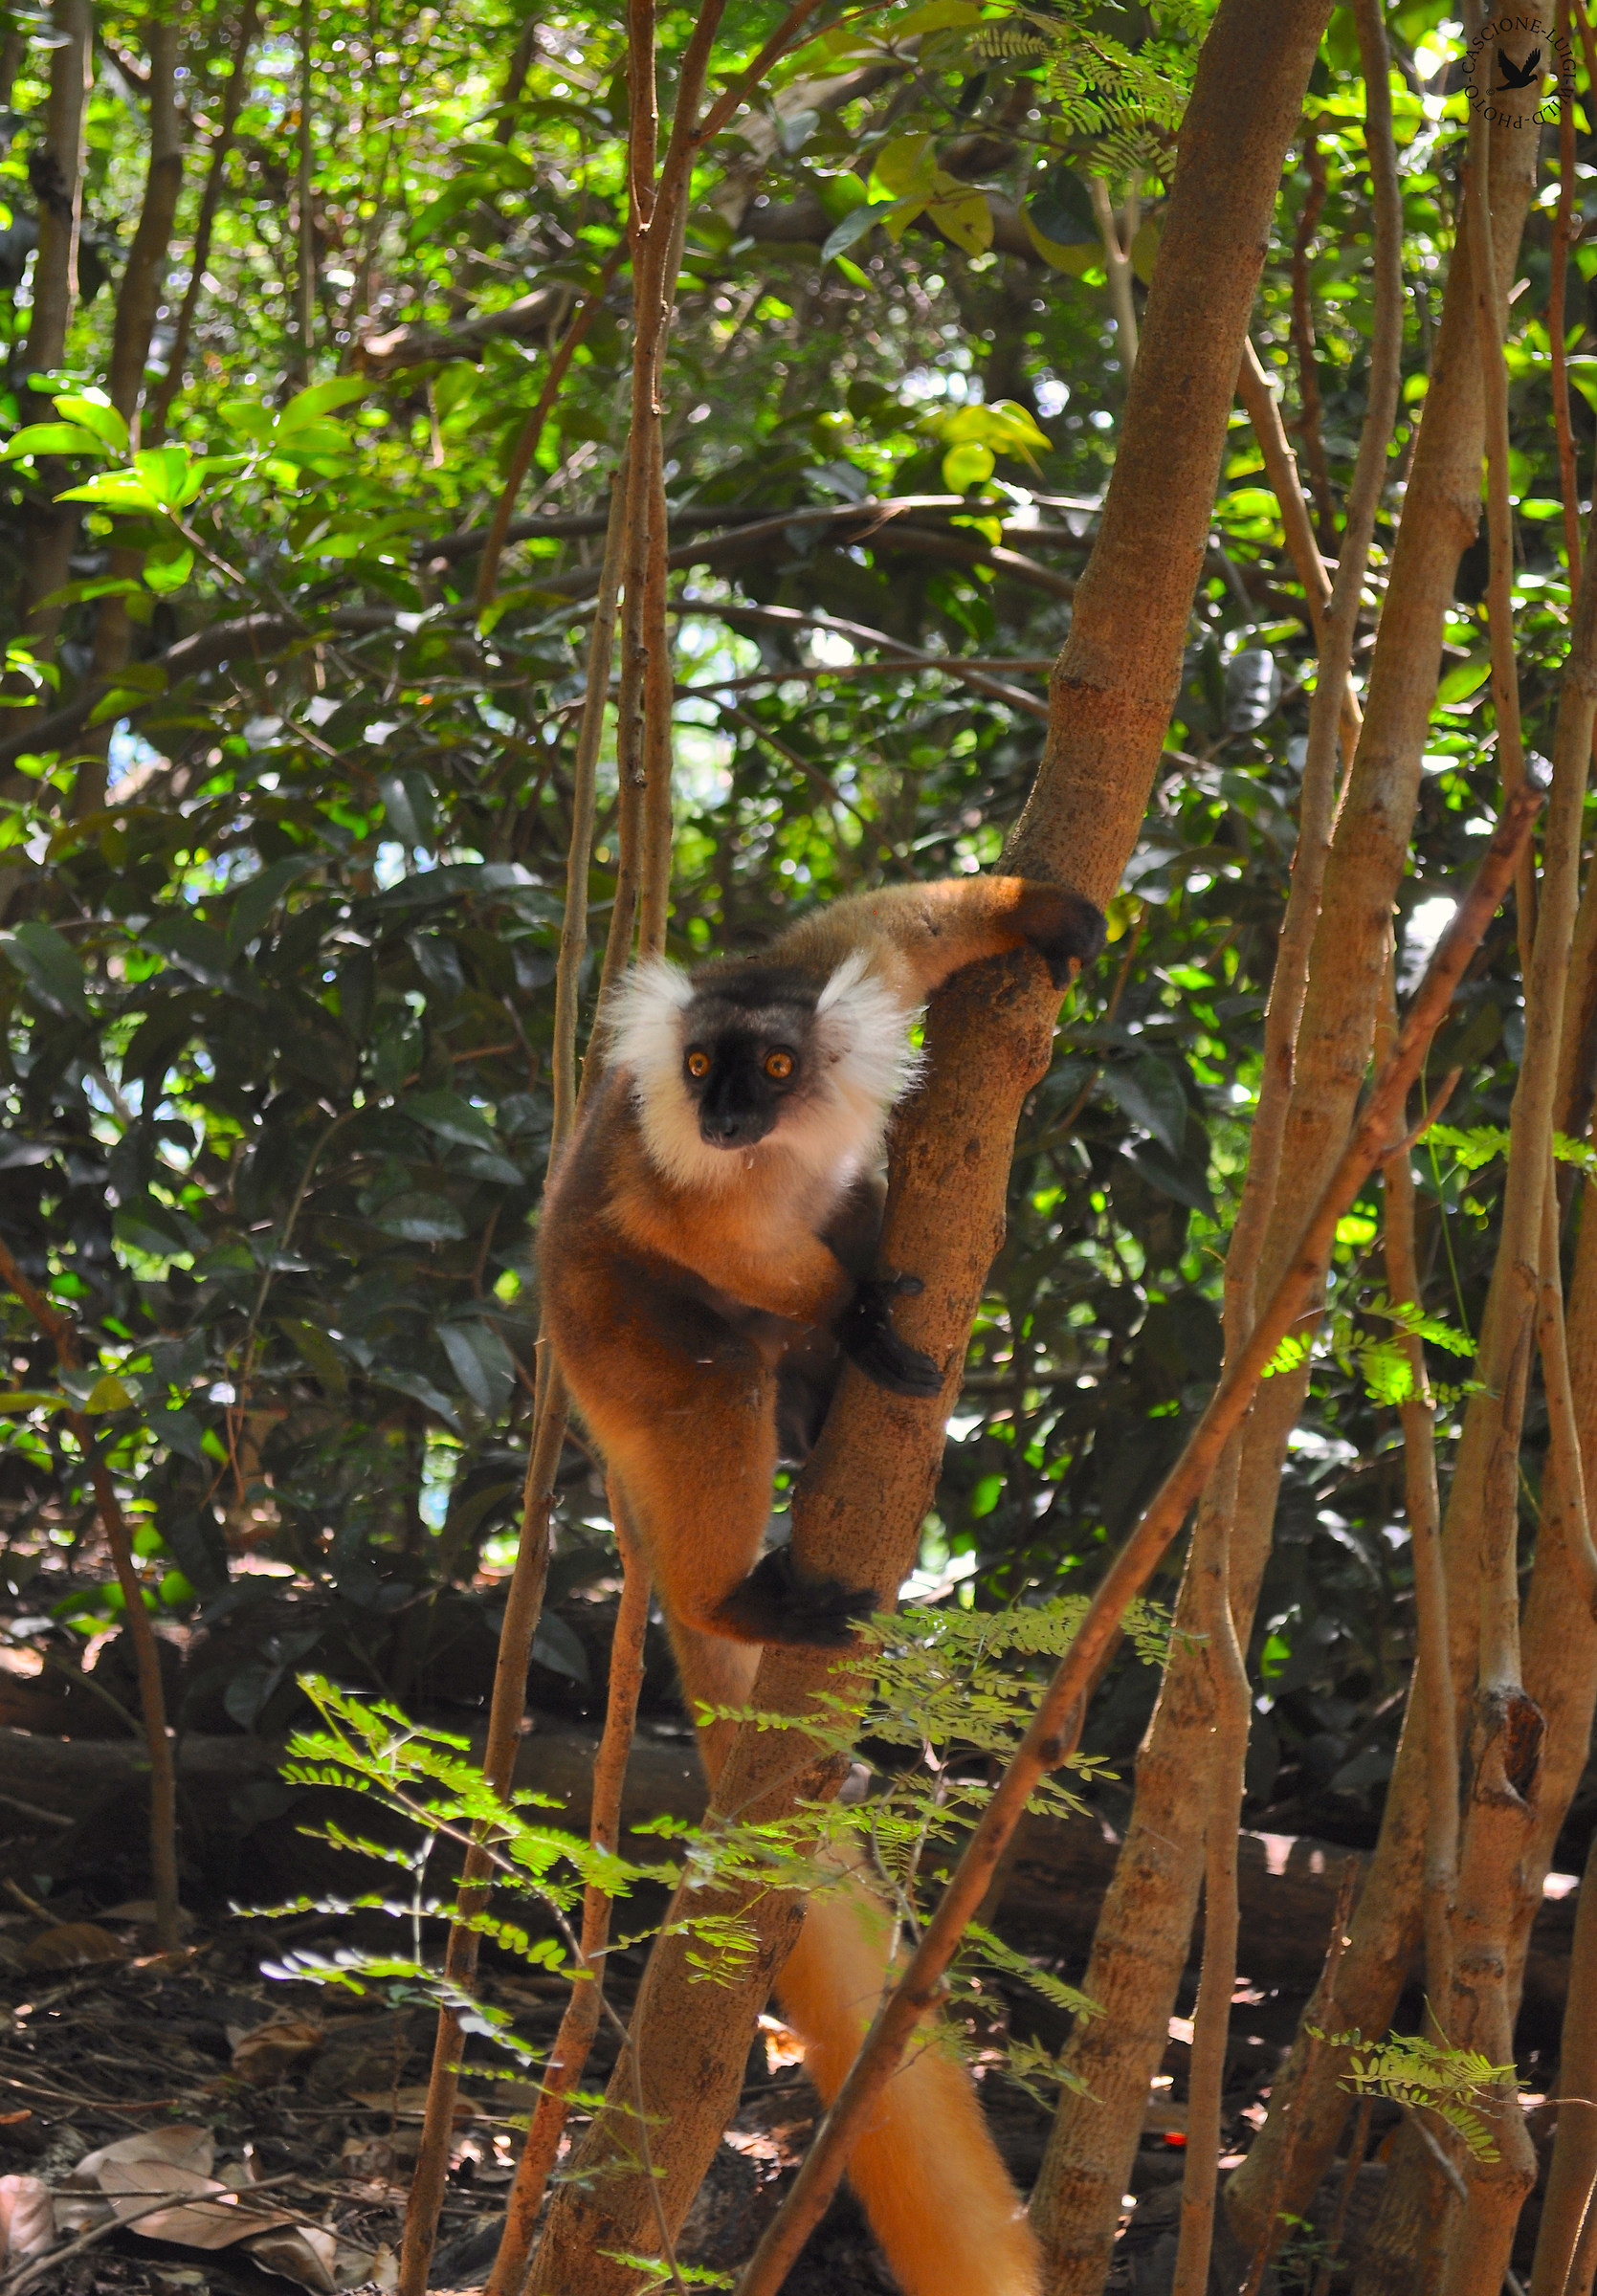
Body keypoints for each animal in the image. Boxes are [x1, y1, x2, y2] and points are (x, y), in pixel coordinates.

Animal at [537, 873, 1103, 2296]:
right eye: (700, 1069)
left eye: (775, 1066)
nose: (727, 1118)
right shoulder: (676, 1190)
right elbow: (700, 1228)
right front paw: (850, 1316)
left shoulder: (835, 972)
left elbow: (897, 927)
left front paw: (1040, 913)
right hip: (615, 1333)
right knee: (710, 1390)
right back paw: (742, 1587)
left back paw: (821, 1393)